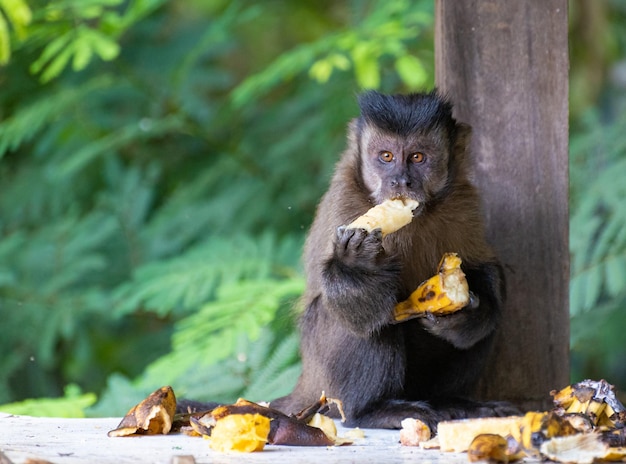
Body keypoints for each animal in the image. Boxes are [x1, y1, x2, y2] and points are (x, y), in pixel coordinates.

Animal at [270, 90, 516, 432]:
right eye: (386, 157)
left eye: (417, 157)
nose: (400, 181)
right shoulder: (347, 202)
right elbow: (351, 306)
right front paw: (356, 265)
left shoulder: (463, 200)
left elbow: (484, 268)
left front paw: (469, 314)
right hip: (326, 379)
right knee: (367, 320)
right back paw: (372, 411)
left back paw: (449, 401)